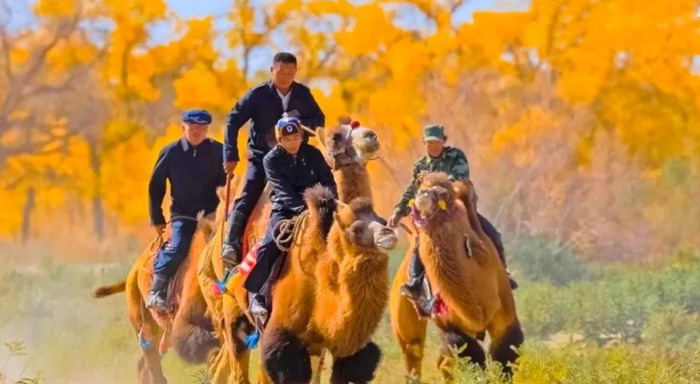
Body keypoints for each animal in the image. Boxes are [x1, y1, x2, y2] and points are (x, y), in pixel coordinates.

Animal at [388, 172, 524, 382]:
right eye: (421, 186)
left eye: (442, 193)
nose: (422, 195)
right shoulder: (450, 326)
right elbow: (473, 358)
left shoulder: (505, 317)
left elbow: (505, 355)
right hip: (401, 314)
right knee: (414, 357)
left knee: (442, 363)